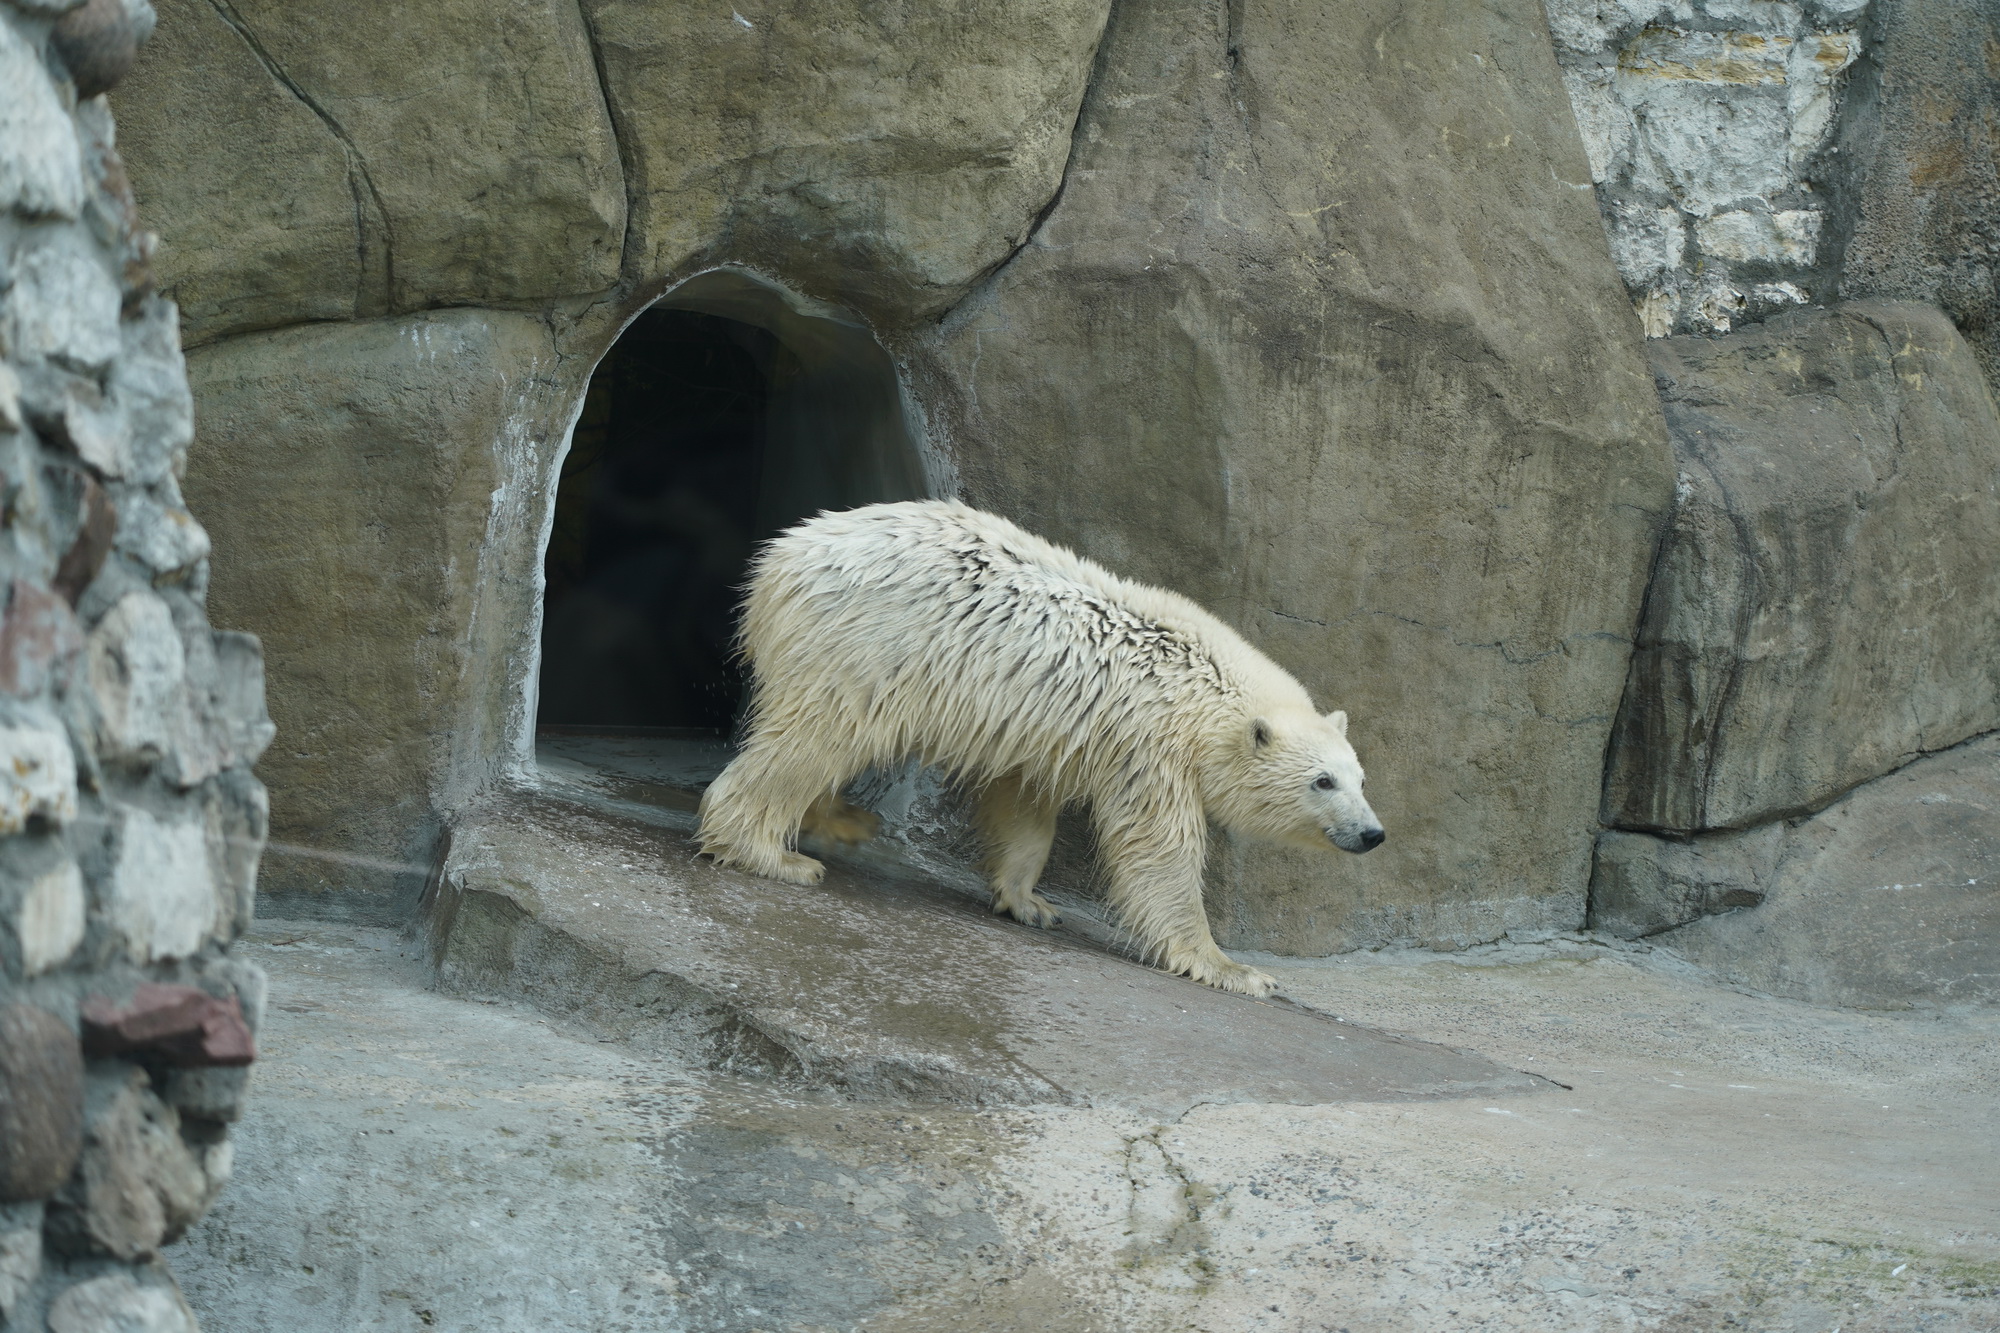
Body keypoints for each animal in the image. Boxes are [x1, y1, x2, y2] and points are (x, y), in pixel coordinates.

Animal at [696, 498, 1384, 984]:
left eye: (1361, 780)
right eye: (1322, 781)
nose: (1372, 833)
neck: (1205, 688)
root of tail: (782, 559)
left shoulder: (1048, 731)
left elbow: (1024, 802)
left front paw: (1030, 902)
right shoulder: (1150, 746)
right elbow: (1158, 849)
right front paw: (1230, 967)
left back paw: (837, 821)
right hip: (866, 646)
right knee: (816, 738)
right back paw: (773, 854)